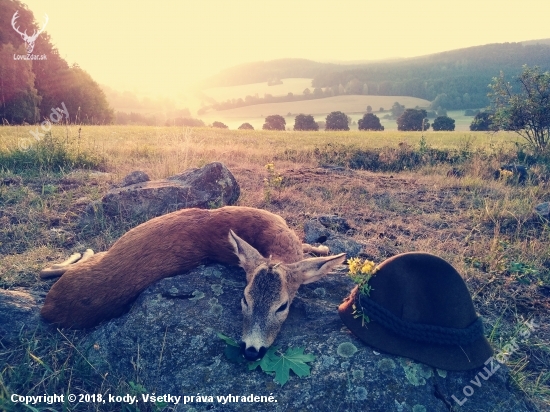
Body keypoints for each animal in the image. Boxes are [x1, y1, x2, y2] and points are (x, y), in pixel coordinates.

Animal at [41, 206, 348, 360]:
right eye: (244, 298)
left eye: (282, 306)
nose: (251, 351)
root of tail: (48, 310)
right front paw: (325, 251)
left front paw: (324, 251)